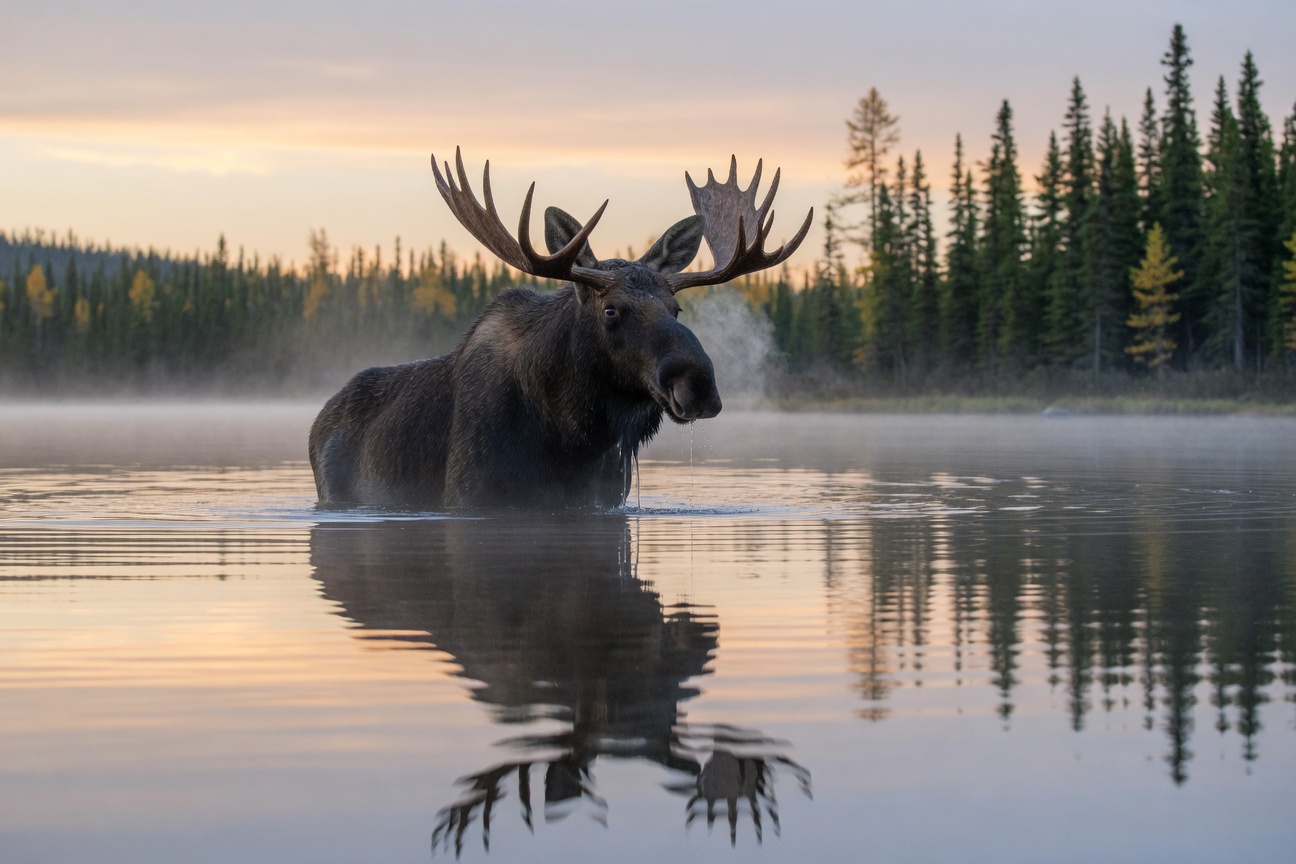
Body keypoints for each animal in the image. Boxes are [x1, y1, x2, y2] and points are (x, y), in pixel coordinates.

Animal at [308, 148, 812, 509]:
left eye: (676, 308)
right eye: (611, 310)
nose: (698, 382)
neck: (573, 435)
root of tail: (320, 419)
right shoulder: (472, 495)